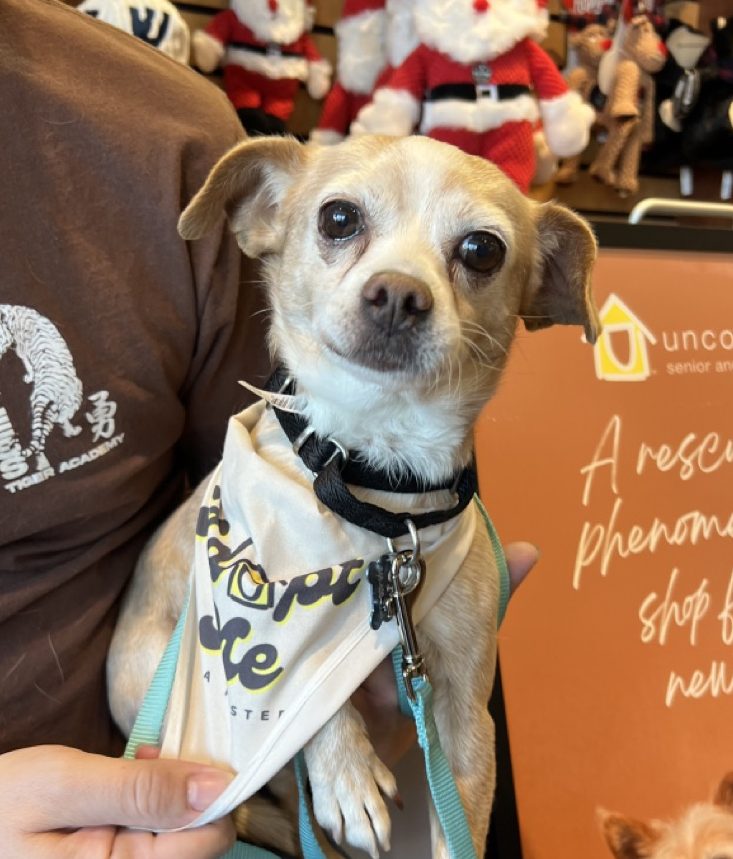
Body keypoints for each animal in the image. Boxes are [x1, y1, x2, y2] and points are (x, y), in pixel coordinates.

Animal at [110, 131, 600, 856]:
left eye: (481, 250)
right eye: (338, 218)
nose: (398, 292)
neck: (378, 487)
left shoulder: (465, 714)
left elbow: (461, 825)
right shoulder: (280, 634)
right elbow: (309, 697)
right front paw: (345, 773)